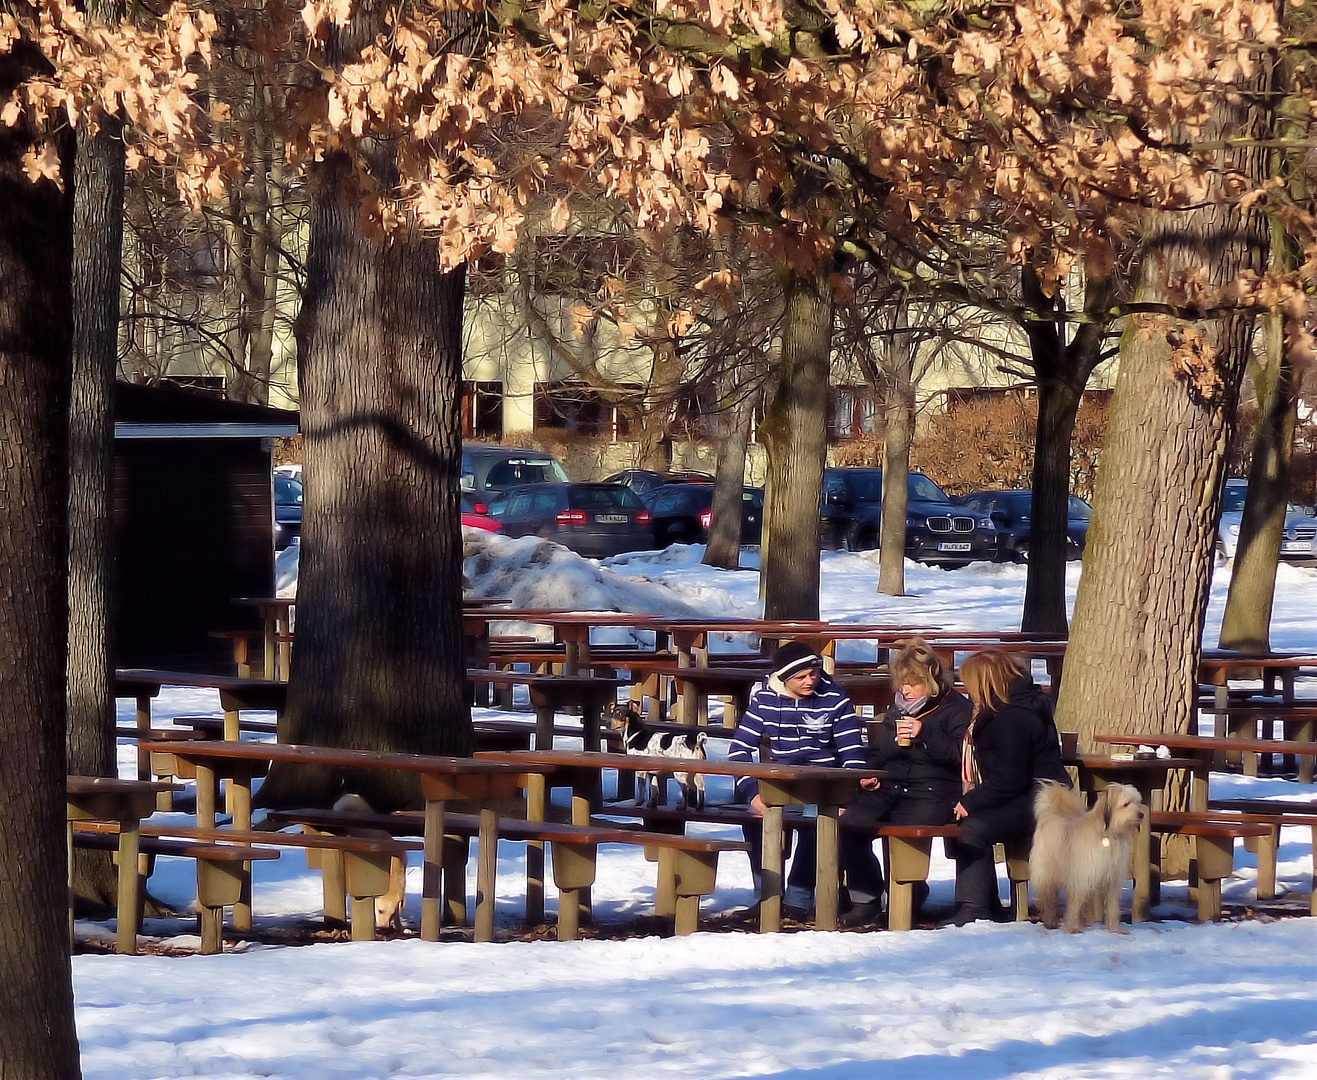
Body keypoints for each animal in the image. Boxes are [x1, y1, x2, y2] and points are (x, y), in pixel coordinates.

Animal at [1032, 779, 1148, 932]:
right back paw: (1051, 921)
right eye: (1126, 803)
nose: (1141, 815)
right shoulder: (1082, 877)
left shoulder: (1112, 879)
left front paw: (1115, 929)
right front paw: (1073, 928)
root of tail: (1050, 814)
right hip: (1048, 873)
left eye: (1137, 802)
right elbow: (1075, 904)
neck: (1108, 835)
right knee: (1047, 898)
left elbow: (1112, 907)